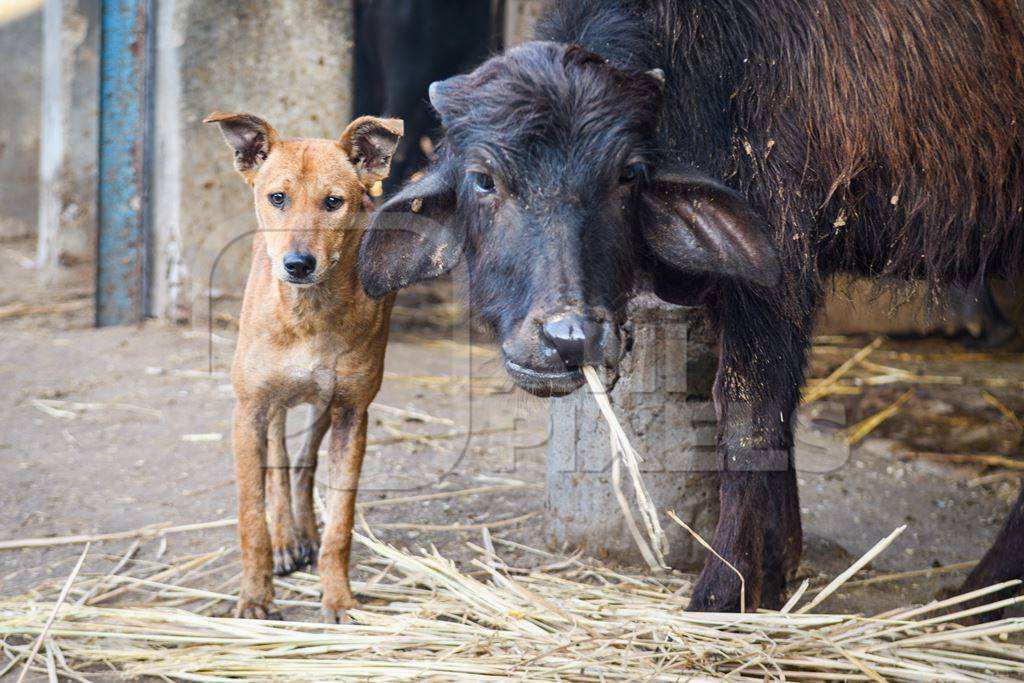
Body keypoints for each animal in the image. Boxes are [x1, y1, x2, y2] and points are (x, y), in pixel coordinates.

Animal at [205, 113, 401, 626]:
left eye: (334, 202)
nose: (298, 264)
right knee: (277, 459)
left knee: (303, 461)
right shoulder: (249, 409)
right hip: (271, 403)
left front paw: (339, 599)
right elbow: (251, 516)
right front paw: (255, 596)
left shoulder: (353, 413)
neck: (309, 314)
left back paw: (304, 533)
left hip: (323, 407)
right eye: (278, 198)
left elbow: (341, 520)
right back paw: (286, 540)